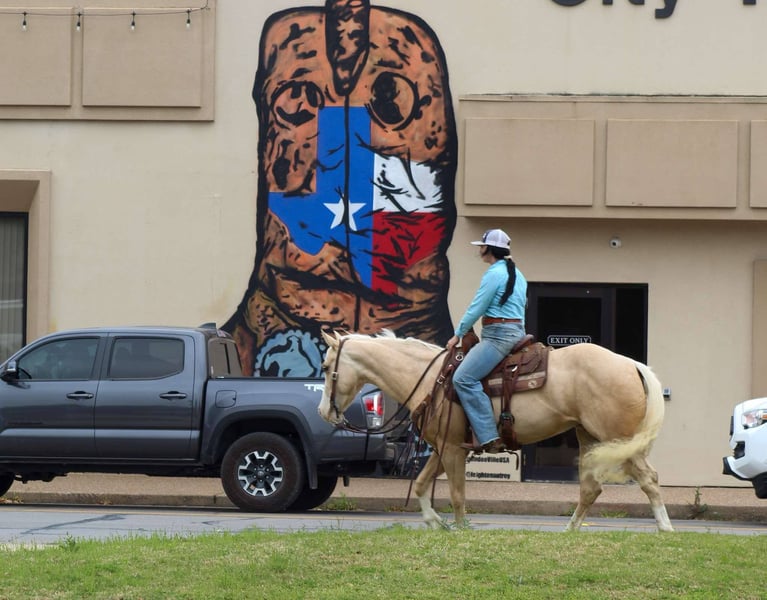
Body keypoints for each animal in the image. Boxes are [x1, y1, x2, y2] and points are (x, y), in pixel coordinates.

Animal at [318, 330, 674, 532]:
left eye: (325, 367)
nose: (323, 412)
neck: (432, 378)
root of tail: (630, 364)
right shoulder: (443, 447)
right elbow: (420, 484)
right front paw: (434, 522)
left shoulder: (452, 449)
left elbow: (457, 494)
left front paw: (461, 529)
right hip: (589, 439)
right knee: (591, 489)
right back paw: (570, 531)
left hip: (619, 440)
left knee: (649, 479)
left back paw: (666, 529)